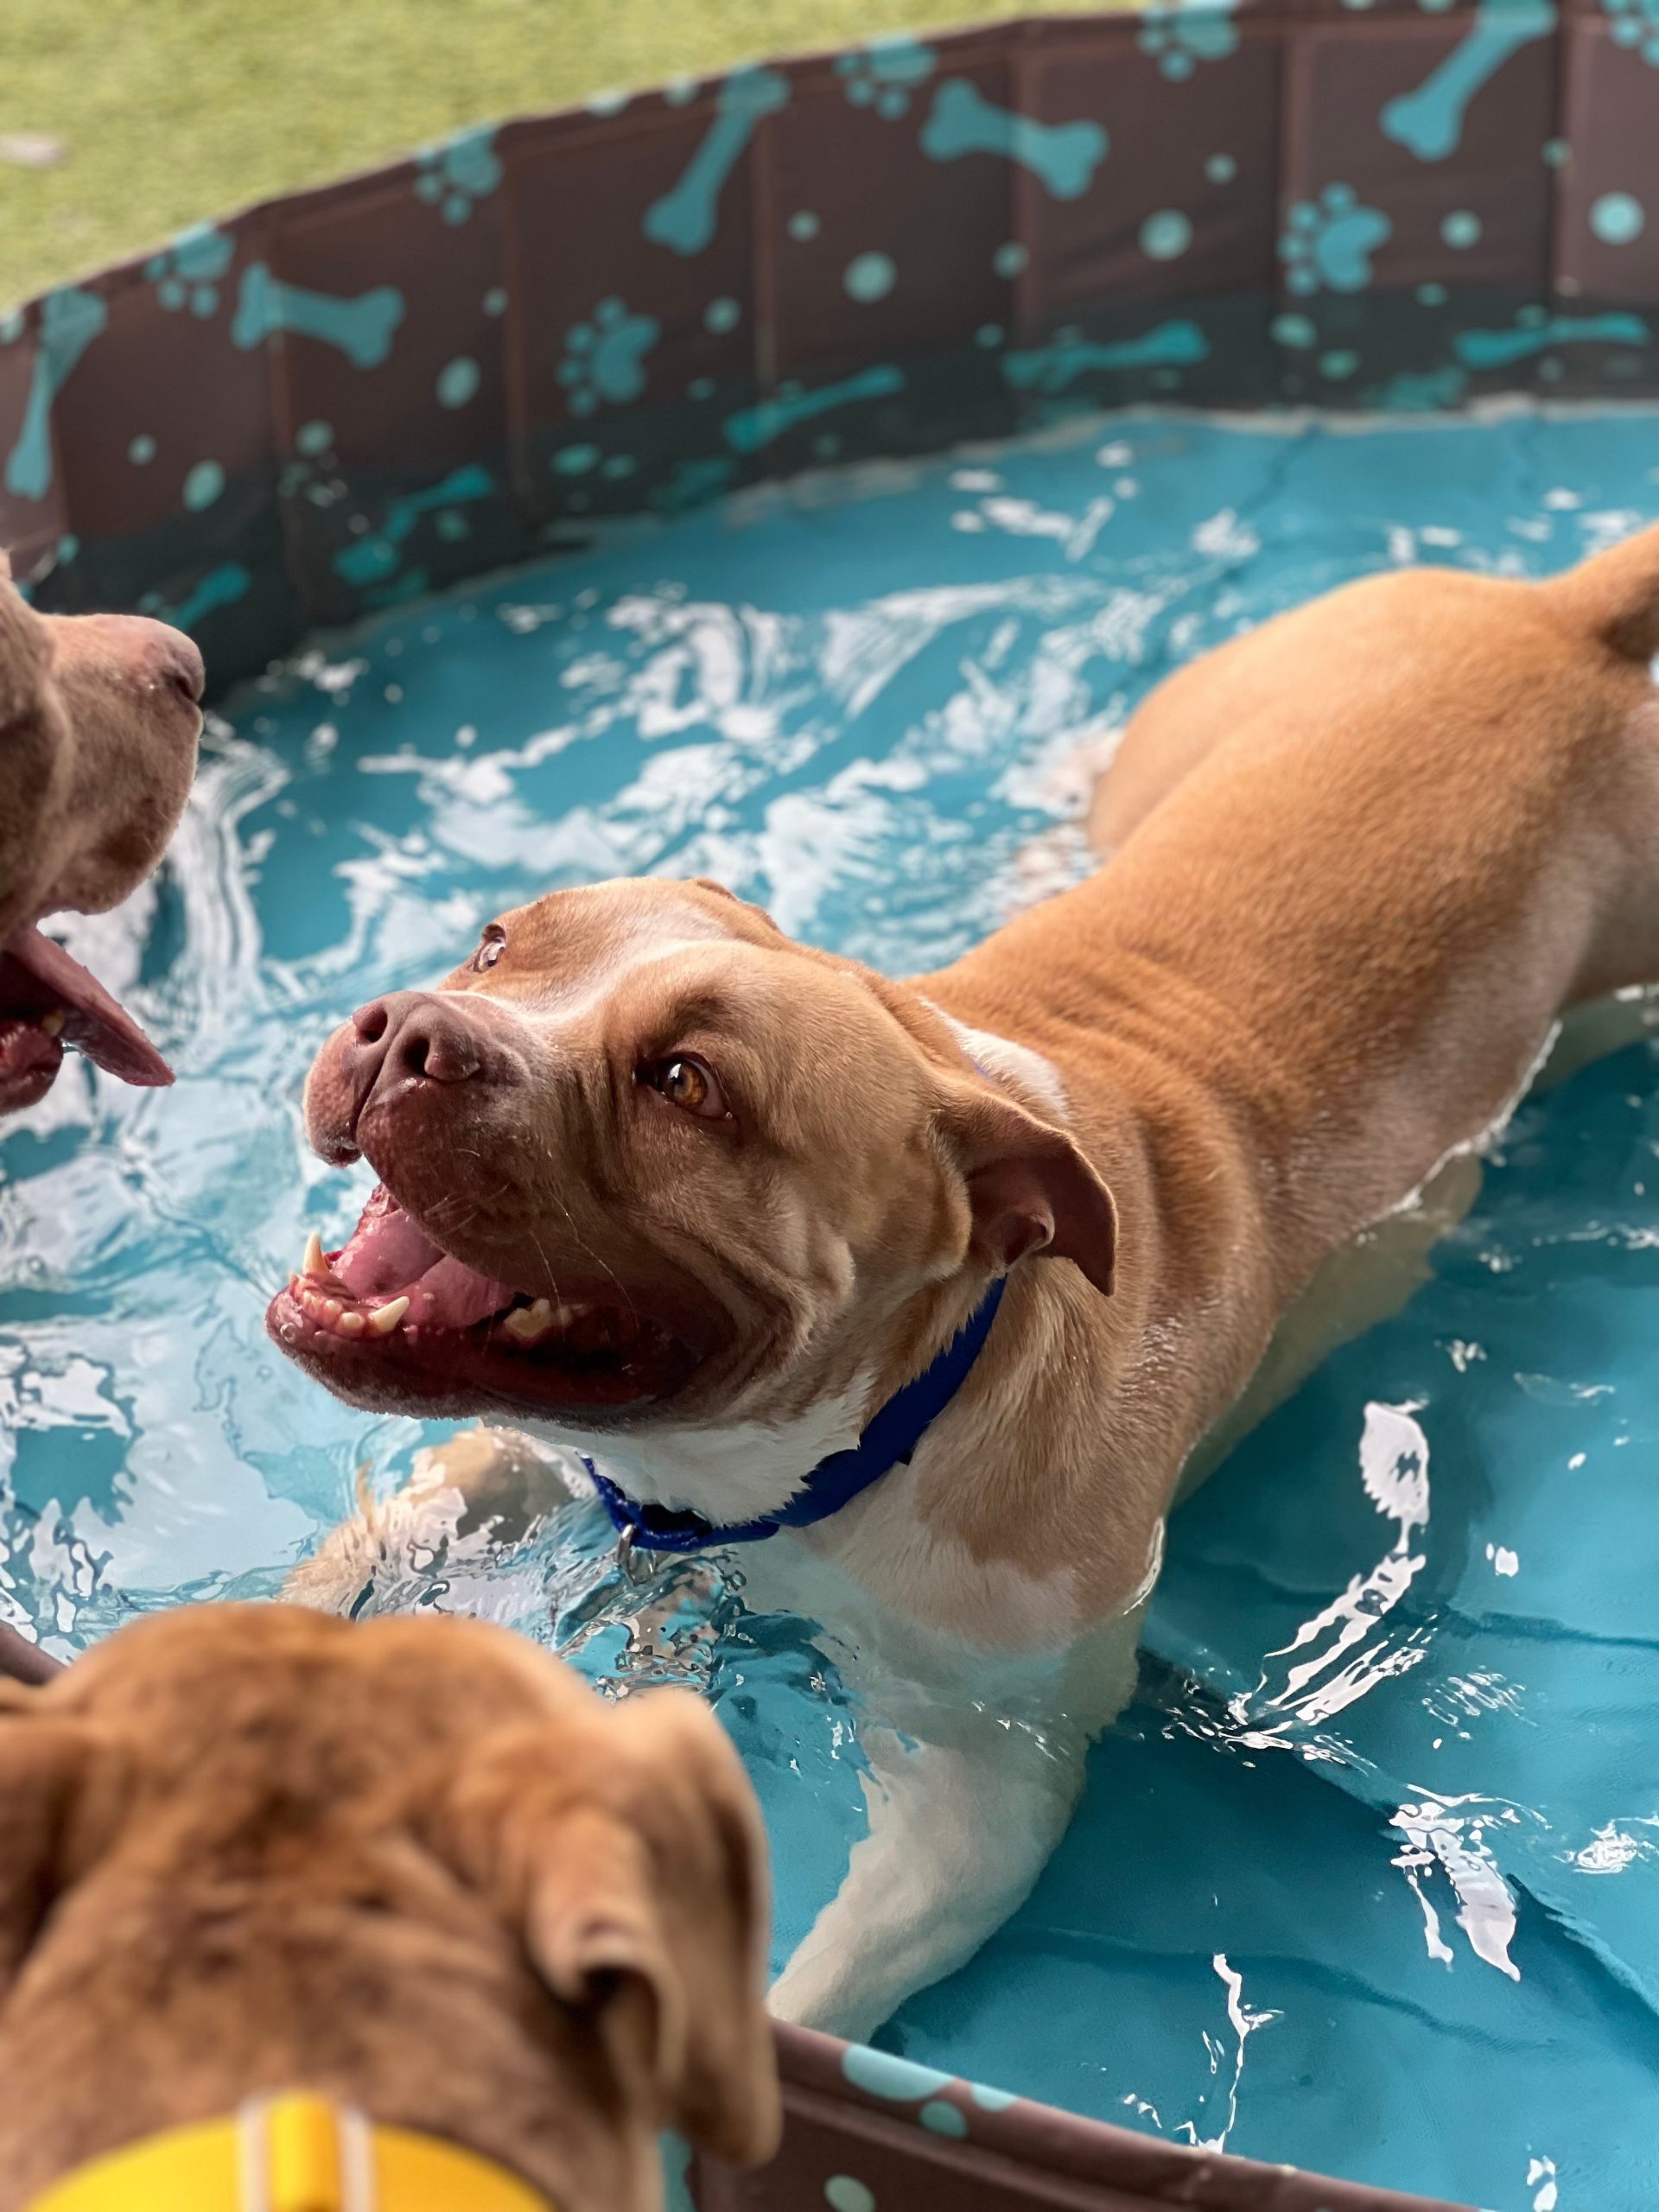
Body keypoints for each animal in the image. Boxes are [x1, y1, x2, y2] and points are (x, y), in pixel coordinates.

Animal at [266, 518, 1659, 2035]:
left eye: (686, 1084)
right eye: (499, 943)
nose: (407, 1032)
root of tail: (1558, 620)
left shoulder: (984, 1777)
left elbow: (820, 1988)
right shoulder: (522, 1447)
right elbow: (342, 1565)